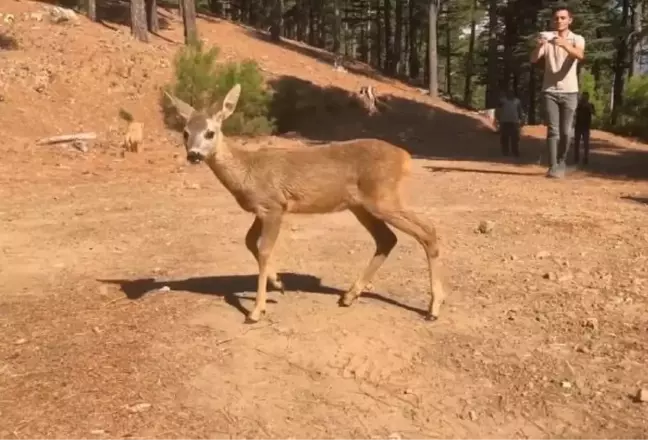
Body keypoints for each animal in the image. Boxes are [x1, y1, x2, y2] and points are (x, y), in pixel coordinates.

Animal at [165, 83, 448, 324]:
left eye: (210, 132)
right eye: (185, 133)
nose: (194, 155)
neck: (247, 171)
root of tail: (405, 157)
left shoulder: (275, 206)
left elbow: (264, 250)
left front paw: (256, 310)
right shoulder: (261, 210)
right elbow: (248, 242)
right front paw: (278, 283)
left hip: (383, 198)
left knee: (428, 230)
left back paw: (433, 309)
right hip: (361, 205)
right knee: (388, 239)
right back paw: (349, 296)